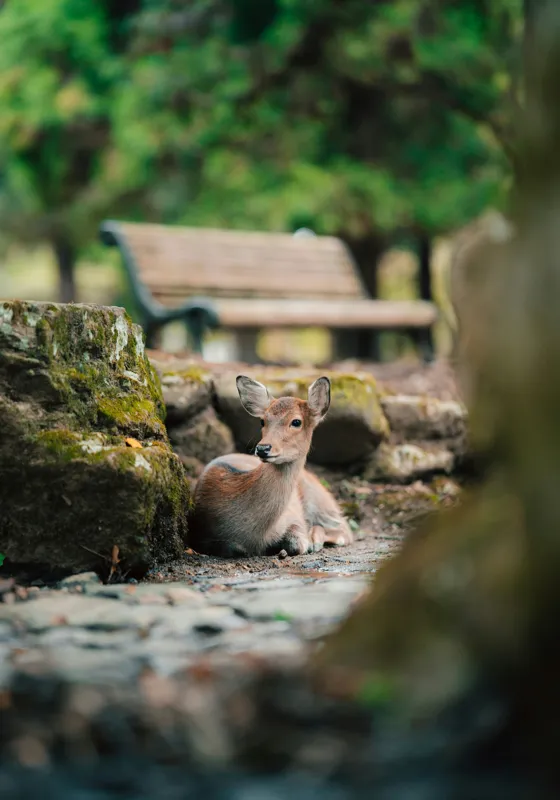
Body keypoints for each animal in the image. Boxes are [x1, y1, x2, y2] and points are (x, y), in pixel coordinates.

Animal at [188, 375, 354, 557]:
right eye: (262, 421)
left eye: (296, 421)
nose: (263, 448)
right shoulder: (200, 534)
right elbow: (232, 548)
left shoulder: (294, 516)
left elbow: (298, 544)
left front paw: (305, 543)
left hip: (320, 499)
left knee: (344, 529)